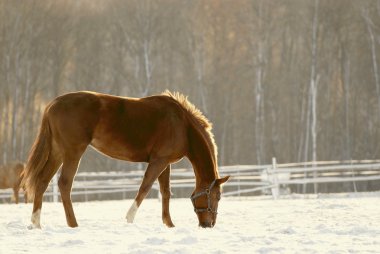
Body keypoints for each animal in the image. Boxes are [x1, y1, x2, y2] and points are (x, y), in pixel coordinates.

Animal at [22, 91, 230, 228]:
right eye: (217, 196)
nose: (209, 224)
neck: (182, 125)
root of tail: (53, 104)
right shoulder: (159, 161)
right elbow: (145, 187)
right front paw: (129, 218)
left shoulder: (165, 163)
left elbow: (165, 192)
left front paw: (169, 224)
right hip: (73, 152)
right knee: (65, 183)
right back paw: (73, 224)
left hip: (57, 152)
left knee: (42, 181)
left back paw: (36, 223)